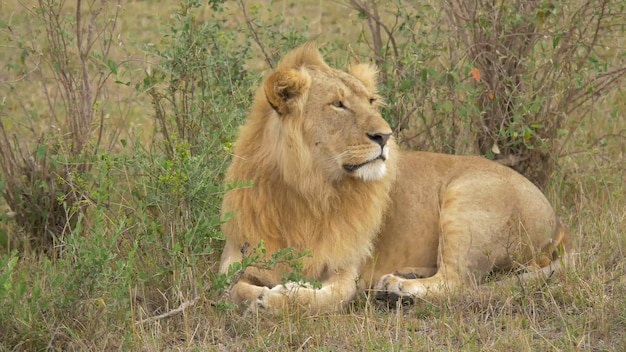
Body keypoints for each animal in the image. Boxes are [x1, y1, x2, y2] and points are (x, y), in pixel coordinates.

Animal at [218, 44, 572, 314]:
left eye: (371, 102)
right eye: (338, 104)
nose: (385, 136)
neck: (308, 188)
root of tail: (558, 221)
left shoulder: (346, 268)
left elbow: (329, 297)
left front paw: (276, 298)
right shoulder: (234, 258)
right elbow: (231, 288)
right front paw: (261, 294)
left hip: (466, 200)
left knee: (458, 282)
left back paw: (397, 287)